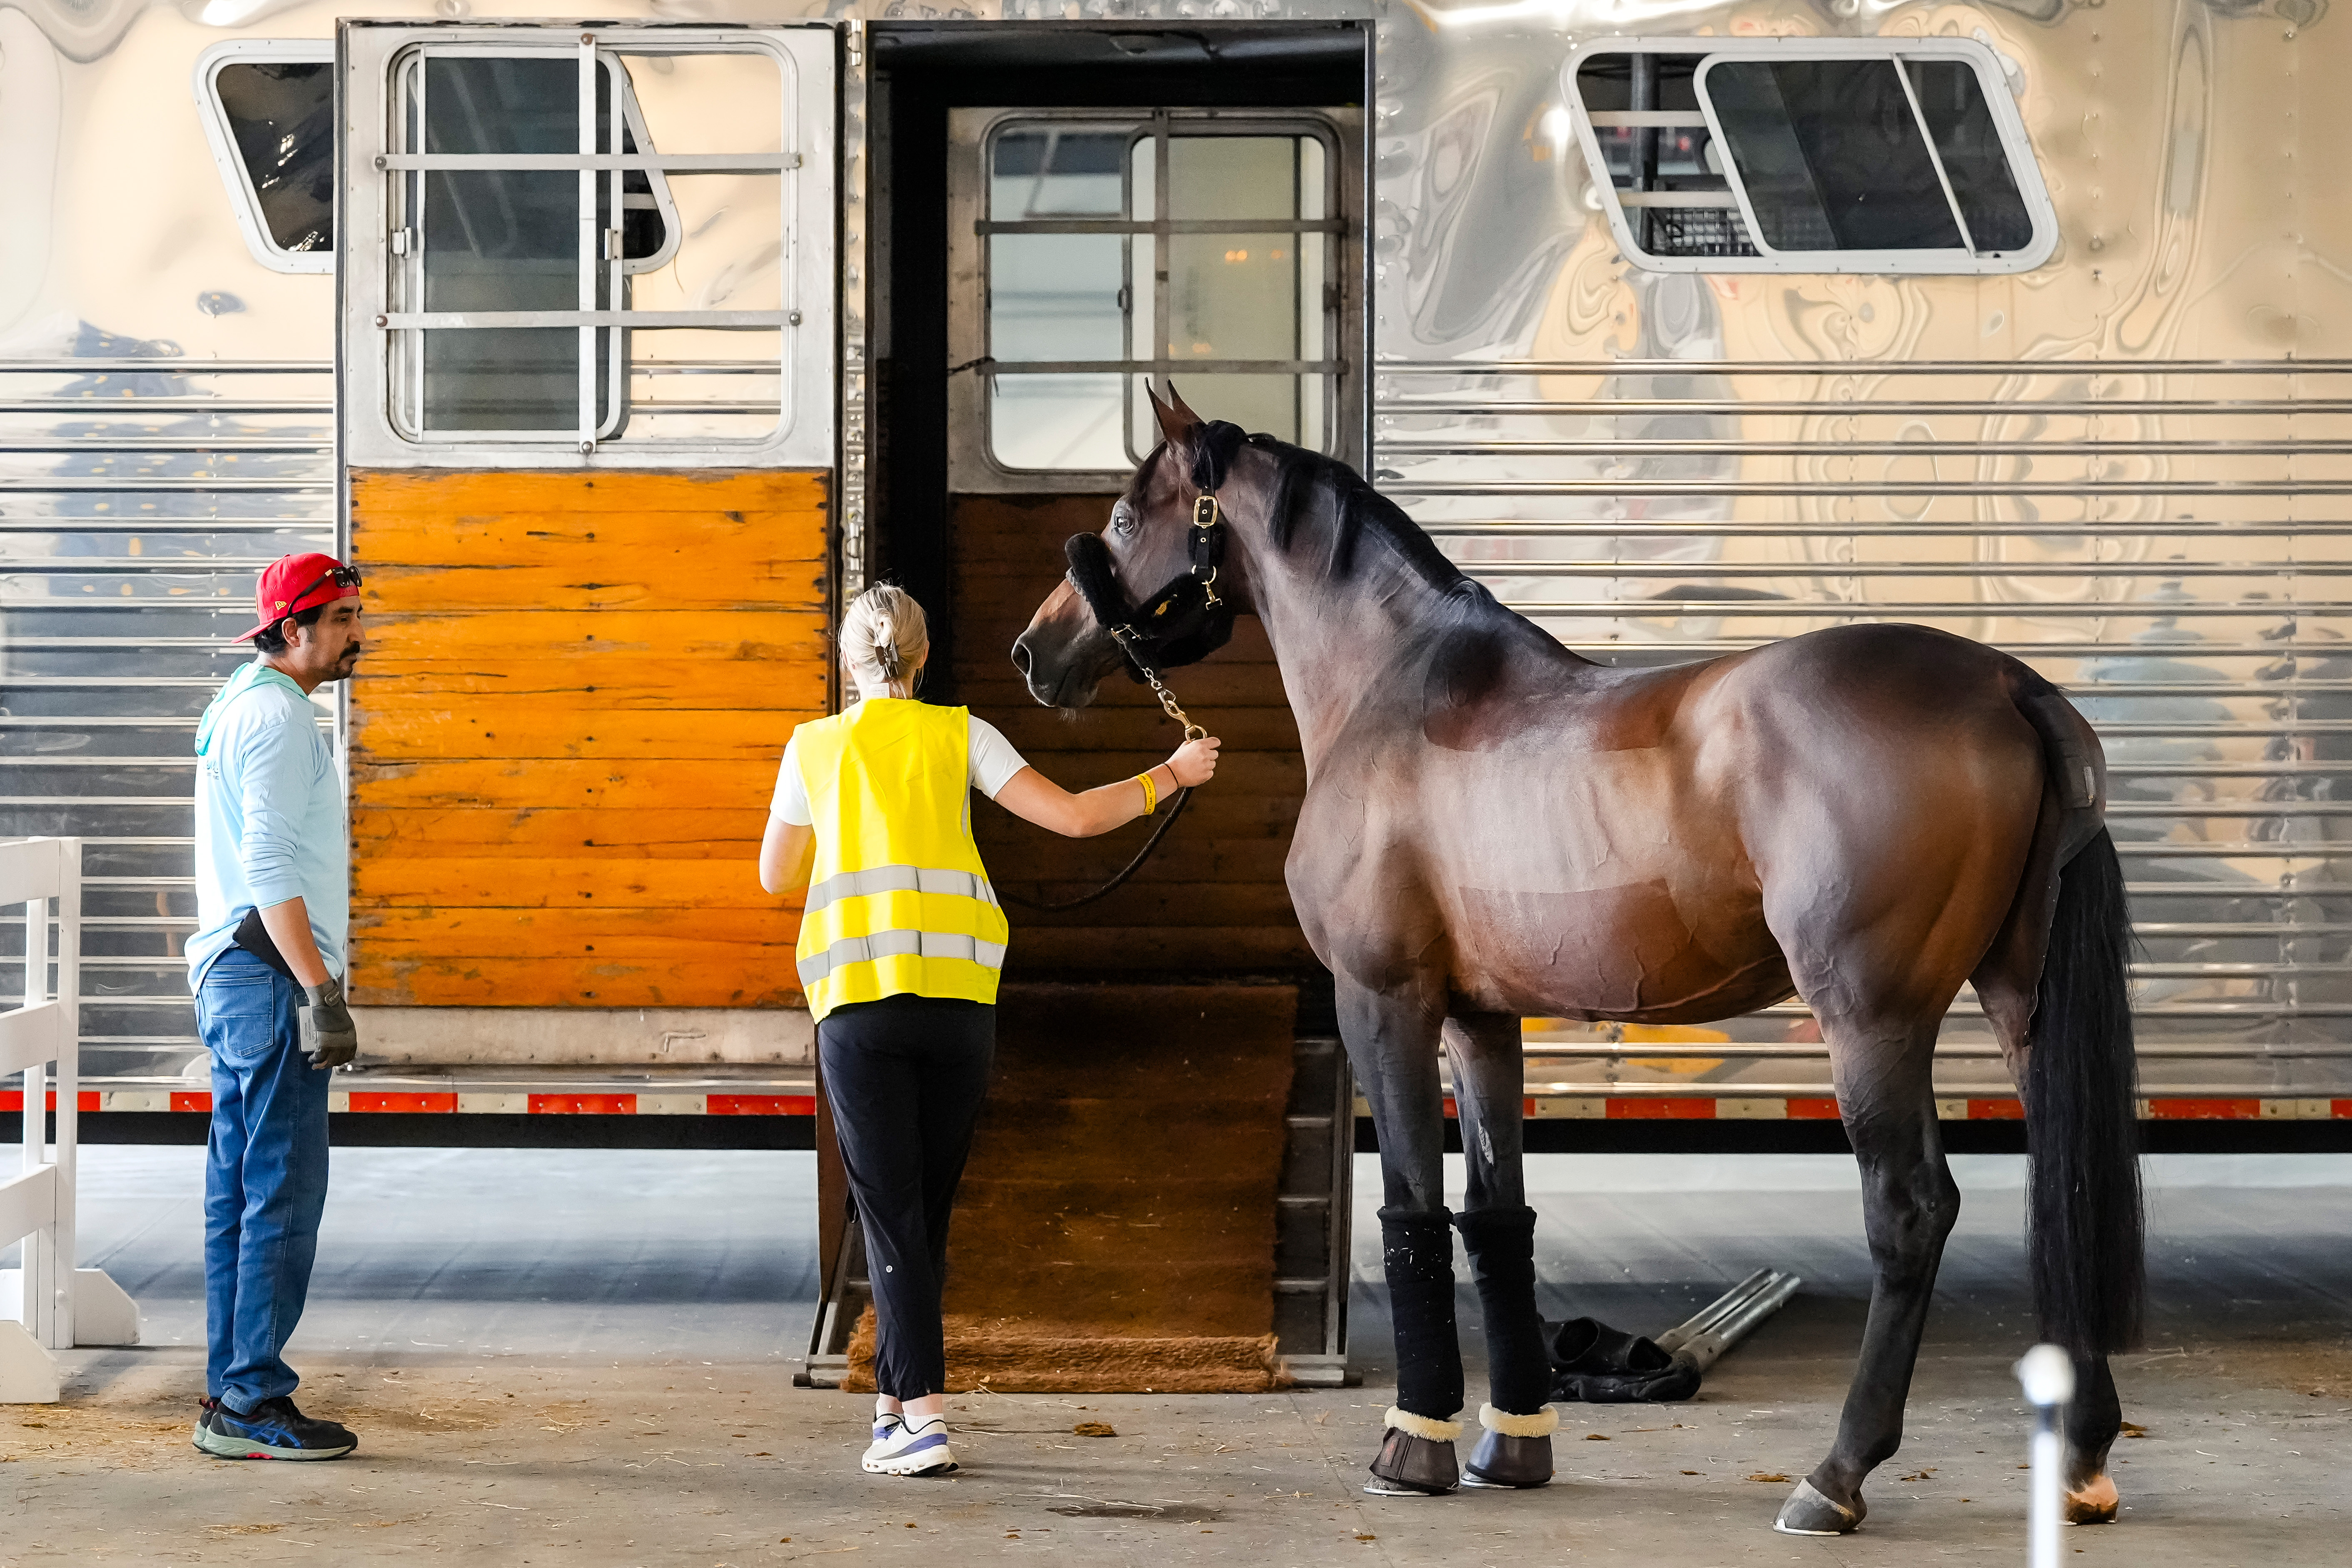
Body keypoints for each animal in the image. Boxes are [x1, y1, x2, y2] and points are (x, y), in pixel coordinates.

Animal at [1010, 386, 2144, 1534]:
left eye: (1120, 517)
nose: (1032, 652)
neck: (1388, 688)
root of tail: (2008, 685)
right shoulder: (1480, 1017)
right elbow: (1494, 1214)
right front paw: (1510, 1444)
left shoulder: (1385, 1001)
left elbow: (1413, 1208)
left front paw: (1412, 1443)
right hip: (2017, 1001)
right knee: (2066, 1185)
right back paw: (2082, 1456)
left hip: (1870, 1017)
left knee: (1909, 1210)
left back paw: (1834, 1475)